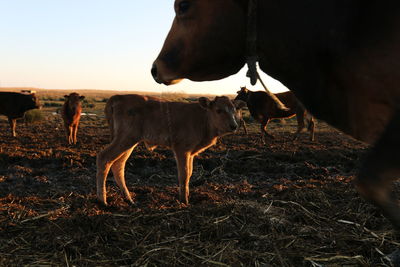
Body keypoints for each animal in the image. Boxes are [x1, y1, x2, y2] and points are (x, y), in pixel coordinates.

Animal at [97, 93, 247, 206]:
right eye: (219, 110)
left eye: (235, 110)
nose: (234, 125)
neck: (203, 119)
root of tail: (118, 96)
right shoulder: (182, 149)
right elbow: (184, 174)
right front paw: (184, 201)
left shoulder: (191, 152)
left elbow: (190, 173)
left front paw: (187, 196)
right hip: (126, 137)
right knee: (105, 158)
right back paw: (102, 201)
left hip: (130, 141)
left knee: (118, 164)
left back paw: (129, 199)